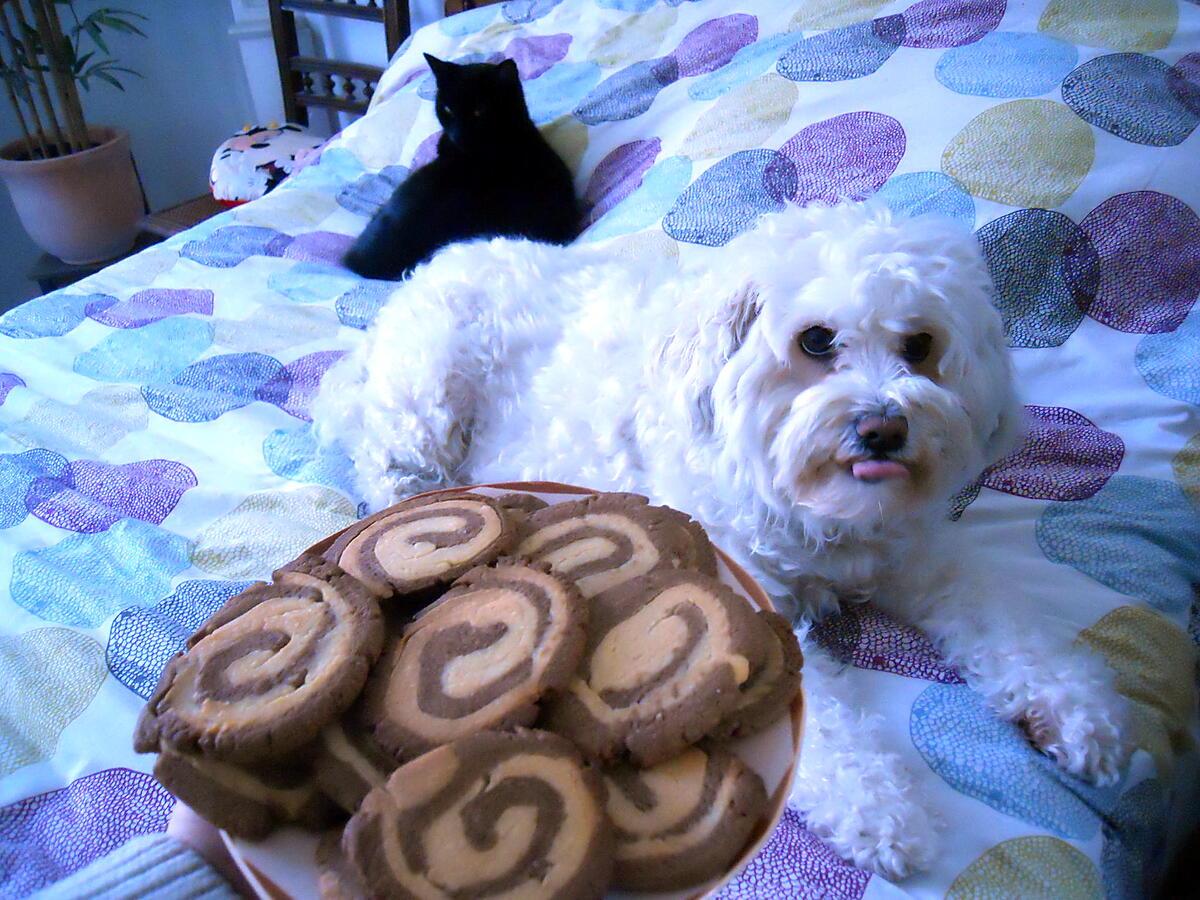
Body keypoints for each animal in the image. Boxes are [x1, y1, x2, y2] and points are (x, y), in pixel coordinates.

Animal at [314, 202, 1128, 883]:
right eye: (816, 341)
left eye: (920, 344)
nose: (884, 427)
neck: (821, 516)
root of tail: (430, 269)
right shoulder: (750, 588)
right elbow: (828, 725)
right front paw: (880, 808)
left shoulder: (920, 555)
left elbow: (1008, 624)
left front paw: (1080, 713)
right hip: (426, 395)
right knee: (391, 468)